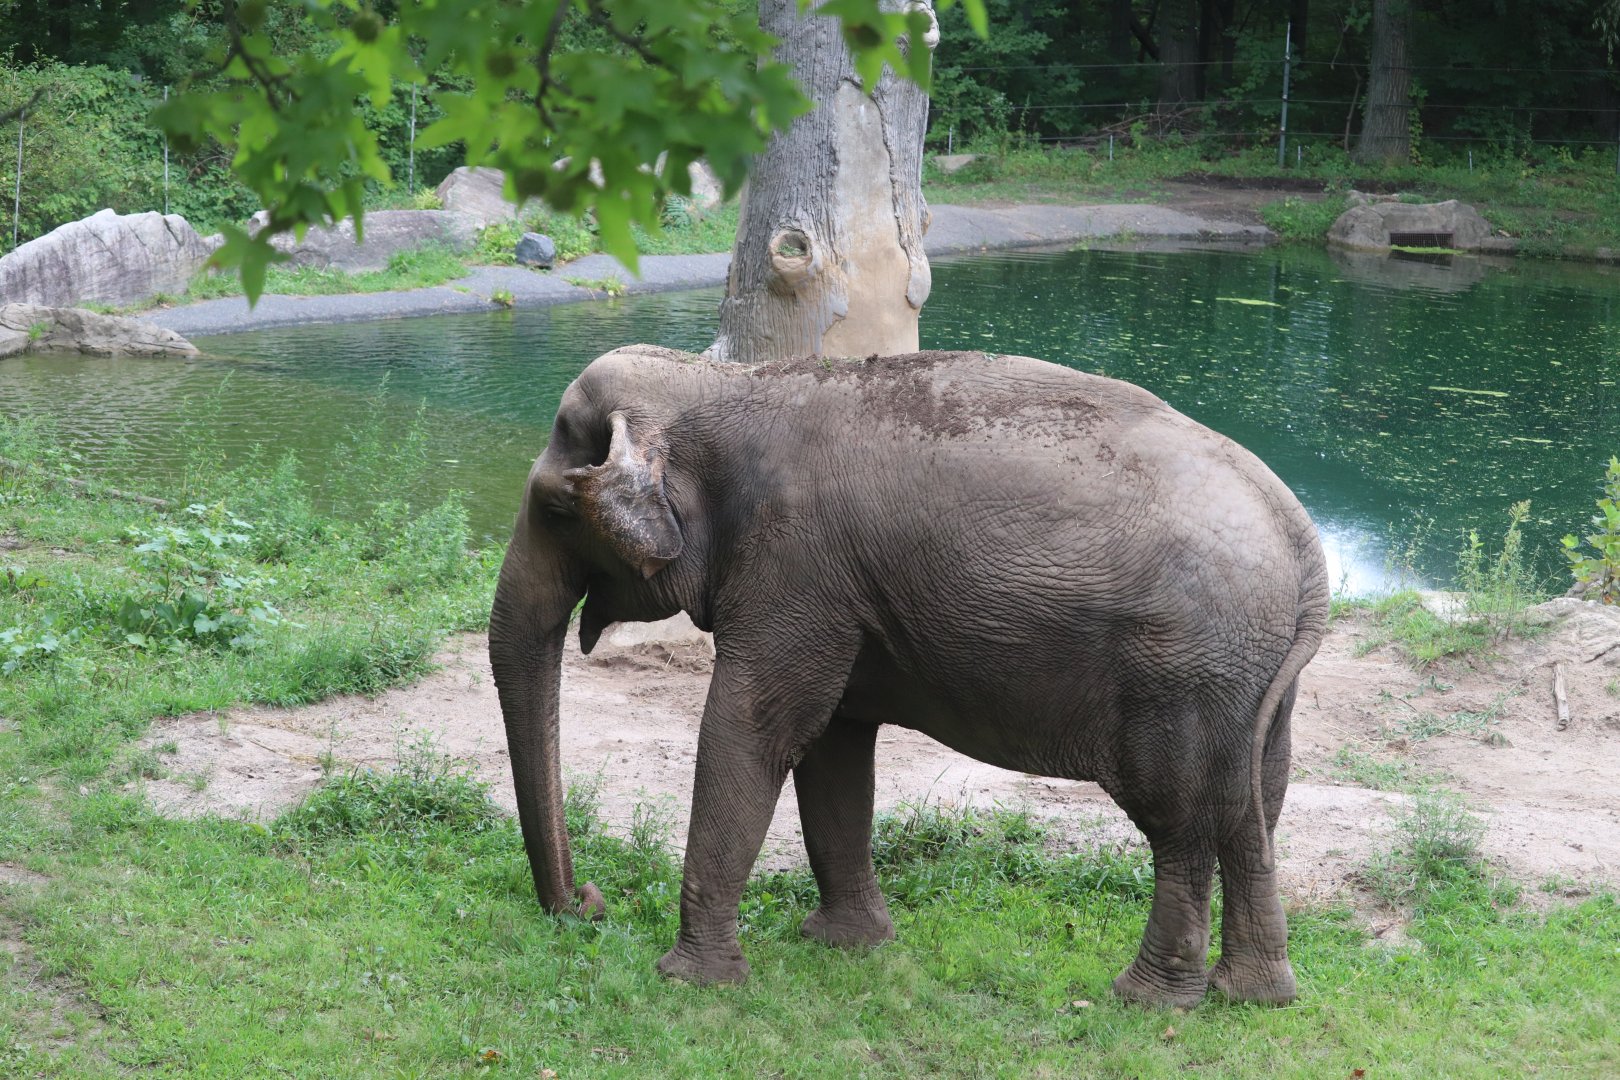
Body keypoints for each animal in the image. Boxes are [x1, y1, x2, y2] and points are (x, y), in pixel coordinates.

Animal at [488, 344, 1329, 1008]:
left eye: (555, 509)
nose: (588, 904)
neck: (723, 381)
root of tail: (1303, 543)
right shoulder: (834, 594)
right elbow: (833, 748)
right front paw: (849, 945)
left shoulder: (797, 569)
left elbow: (753, 730)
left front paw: (691, 982)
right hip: (1251, 679)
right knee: (1253, 807)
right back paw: (1253, 996)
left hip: (1183, 671)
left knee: (1181, 824)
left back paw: (1147, 999)